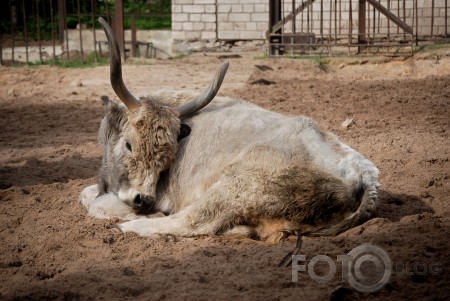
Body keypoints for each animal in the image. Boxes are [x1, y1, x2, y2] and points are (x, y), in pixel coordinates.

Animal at [79, 18, 378, 241]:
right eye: (129, 144)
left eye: (168, 156)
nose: (144, 200)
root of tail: (363, 173)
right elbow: (85, 194)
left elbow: (96, 204)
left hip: (233, 188)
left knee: (193, 221)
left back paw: (130, 226)